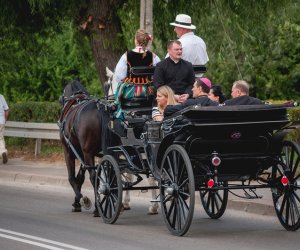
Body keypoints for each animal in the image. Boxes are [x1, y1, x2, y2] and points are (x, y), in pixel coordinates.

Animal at [59, 79, 118, 215]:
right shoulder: (82, 153)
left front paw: (82, 200)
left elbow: (72, 178)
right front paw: (77, 202)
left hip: (87, 152)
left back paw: (97, 208)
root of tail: (101, 110)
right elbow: (80, 178)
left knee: (94, 177)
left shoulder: (68, 151)